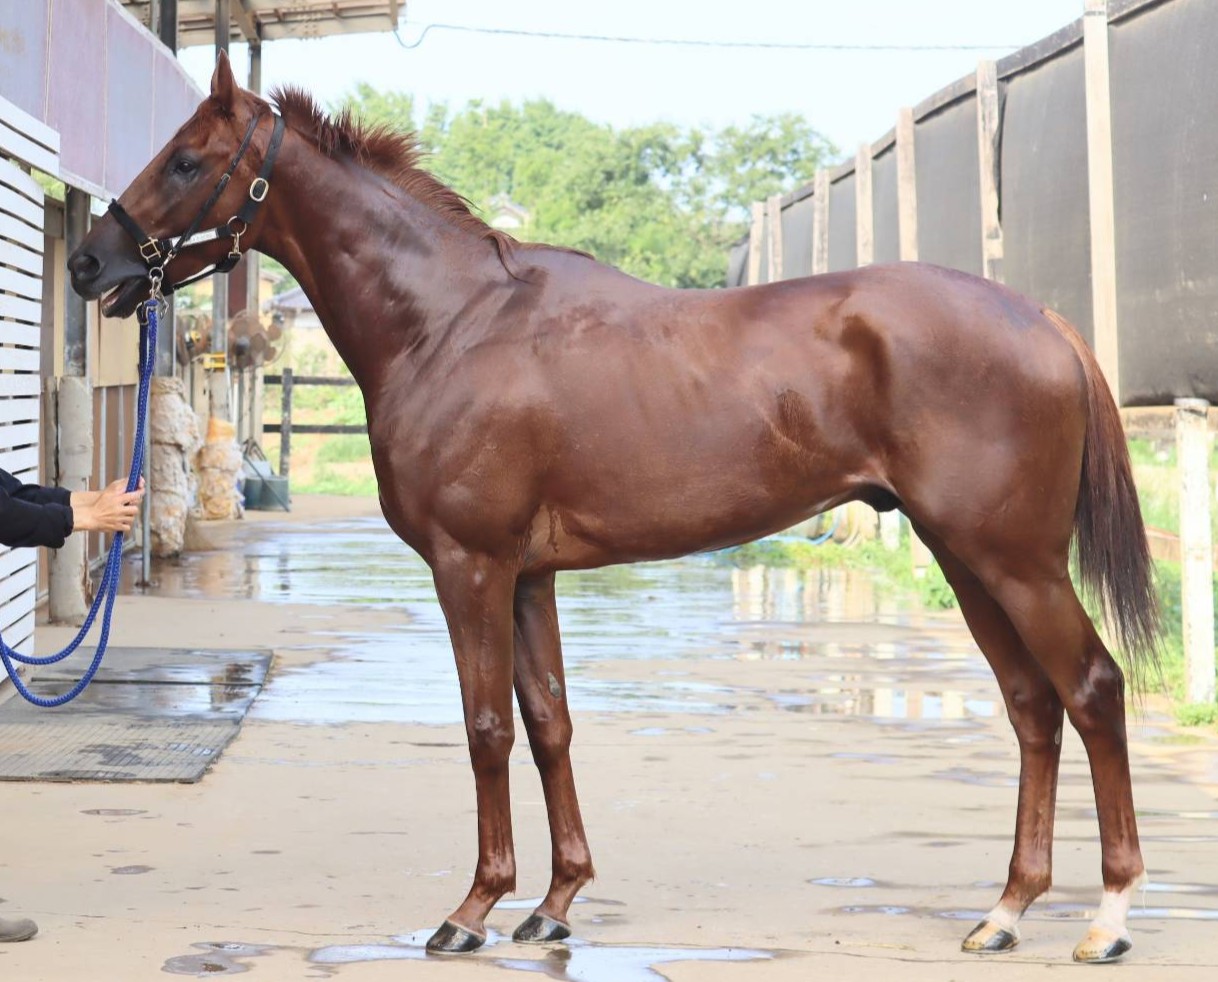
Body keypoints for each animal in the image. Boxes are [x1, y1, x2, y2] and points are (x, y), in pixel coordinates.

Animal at [68, 53, 1159, 963]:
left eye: (188, 159)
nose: (90, 263)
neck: (451, 323)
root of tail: (1041, 320)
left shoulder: (471, 565)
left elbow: (486, 728)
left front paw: (472, 910)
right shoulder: (530, 576)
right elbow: (549, 722)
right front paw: (553, 904)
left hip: (1013, 560)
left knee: (1091, 689)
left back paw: (1106, 920)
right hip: (965, 557)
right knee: (1031, 708)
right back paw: (1005, 911)